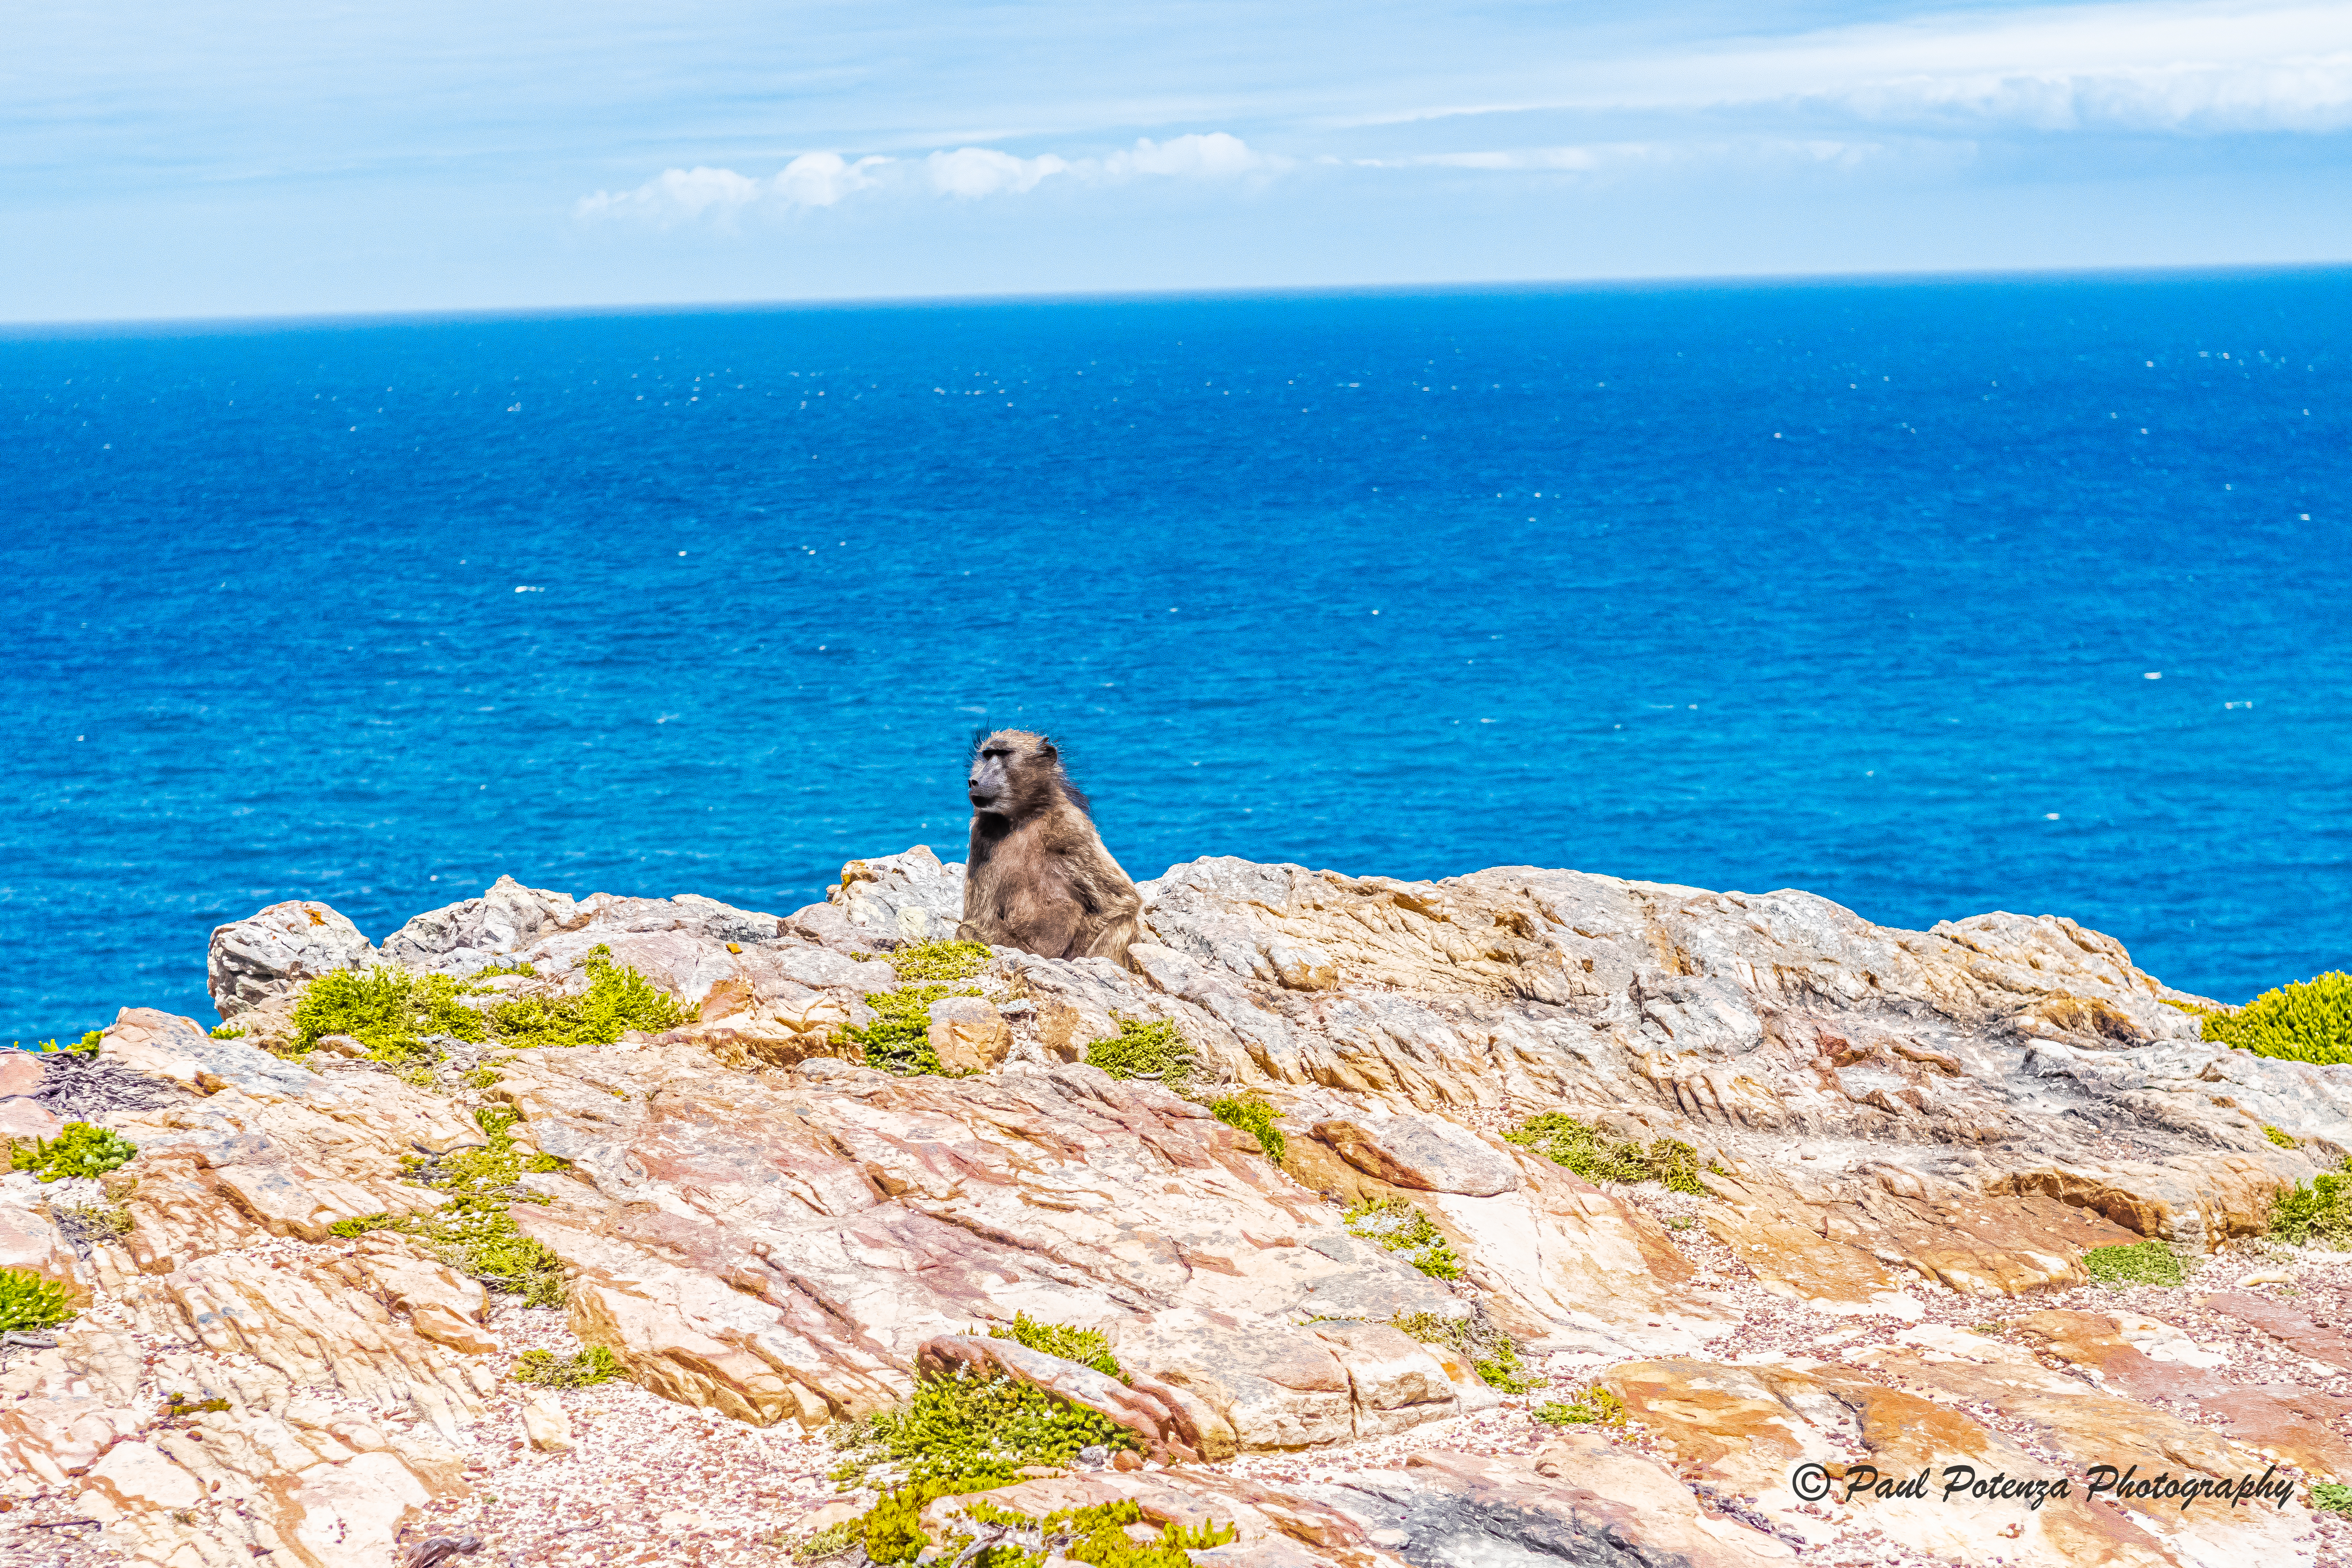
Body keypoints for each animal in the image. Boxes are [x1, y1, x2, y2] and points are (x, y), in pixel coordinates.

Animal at [958, 730, 1142, 968]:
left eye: (1003, 754)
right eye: (987, 755)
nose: (974, 781)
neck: (1024, 817)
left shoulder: (1072, 826)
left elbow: (1121, 901)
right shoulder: (980, 834)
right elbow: (980, 917)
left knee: (1123, 922)